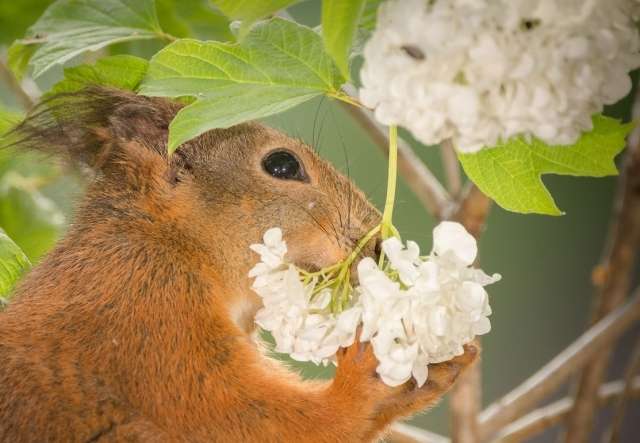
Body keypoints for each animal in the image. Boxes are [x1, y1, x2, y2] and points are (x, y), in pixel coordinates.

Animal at [0, 87, 478, 443]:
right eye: (281, 164)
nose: (376, 243)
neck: (174, 242)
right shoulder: (147, 313)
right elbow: (243, 417)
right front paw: (371, 378)